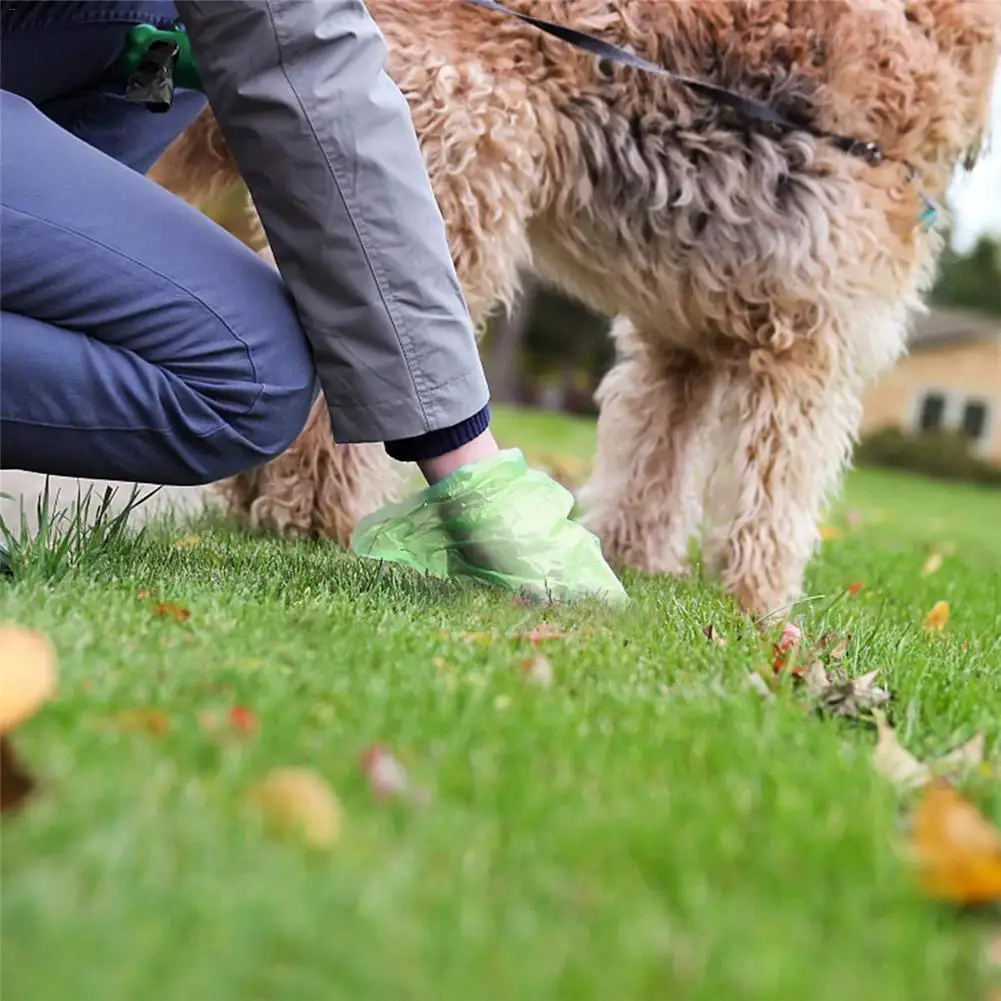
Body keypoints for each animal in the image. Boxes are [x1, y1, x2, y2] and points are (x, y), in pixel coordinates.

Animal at [150, 0, 1001, 612]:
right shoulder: (809, 344)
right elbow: (776, 490)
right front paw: (762, 602)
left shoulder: (681, 345)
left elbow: (652, 467)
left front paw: (639, 560)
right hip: (445, 193)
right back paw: (314, 513)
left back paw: (262, 500)